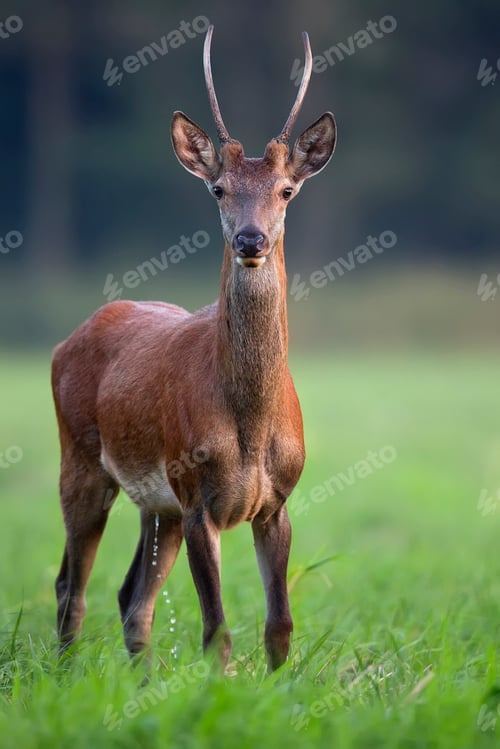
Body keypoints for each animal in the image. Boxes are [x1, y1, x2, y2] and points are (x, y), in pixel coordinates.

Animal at [51, 25, 336, 673]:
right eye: (219, 189)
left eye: (286, 190)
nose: (251, 239)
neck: (249, 427)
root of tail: (68, 338)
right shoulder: (198, 496)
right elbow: (216, 629)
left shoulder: (277, 500)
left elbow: (279, 625)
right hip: (82, 462)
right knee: (71, 587)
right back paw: (65, 677)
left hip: (157, 505)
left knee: (131, 596)